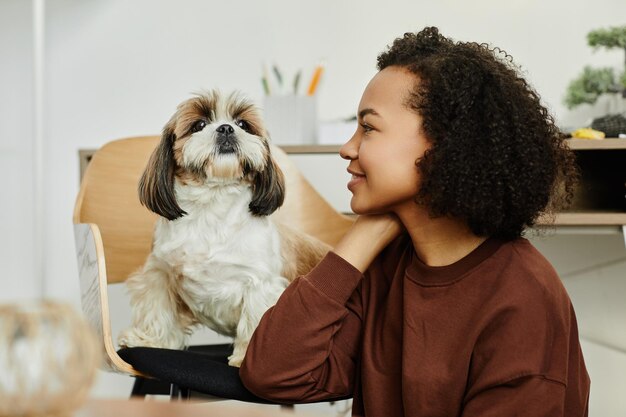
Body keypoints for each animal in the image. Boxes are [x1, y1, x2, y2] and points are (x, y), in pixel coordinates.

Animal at [119, 90, 330, 364]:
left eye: (243, 124)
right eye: (199, 125)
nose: (226, 128)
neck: (212, 208)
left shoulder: (261, 284)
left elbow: (255, 321)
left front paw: (246, 360)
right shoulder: (159, 273)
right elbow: (158, 308)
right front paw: (151, 341)